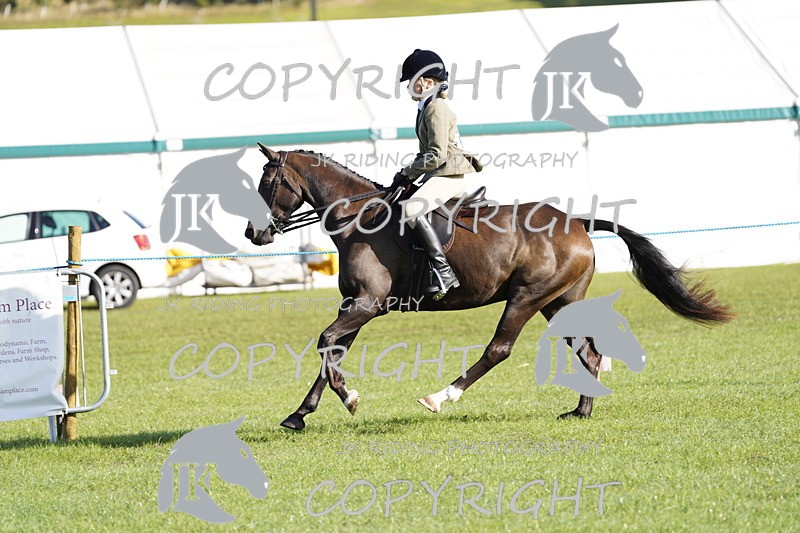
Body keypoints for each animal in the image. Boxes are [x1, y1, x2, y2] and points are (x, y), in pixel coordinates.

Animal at [245, 145, 732, 431]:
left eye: (268, 183)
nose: (255, 234)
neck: (361, 219)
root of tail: (575, 222)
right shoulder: (356, 304)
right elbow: (332, 350)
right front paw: (298, 416)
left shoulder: (368, 303)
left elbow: (326, 341)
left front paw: (350, 399)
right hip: (558, 302)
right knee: (588, 352)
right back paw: (581, 411)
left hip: (526, 297)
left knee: (499, 349)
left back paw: (440, 397)